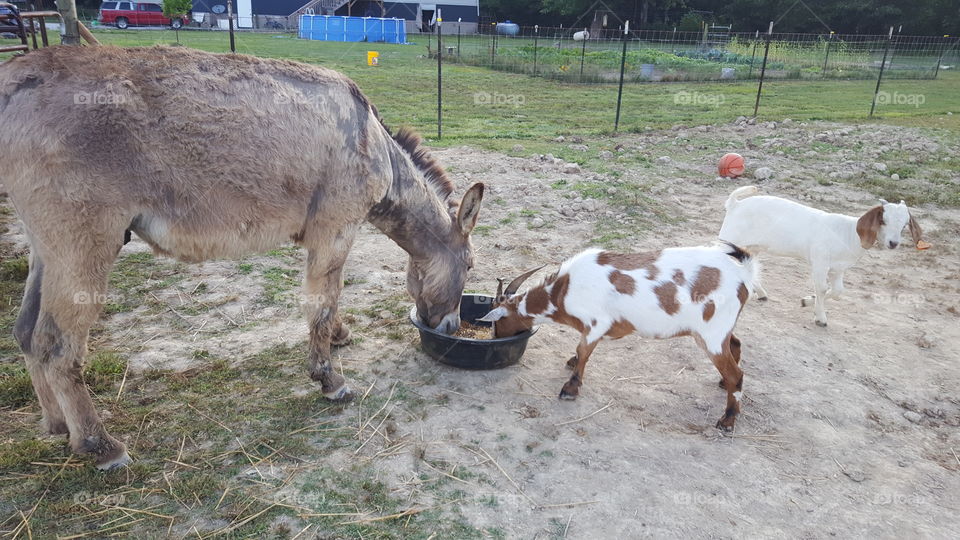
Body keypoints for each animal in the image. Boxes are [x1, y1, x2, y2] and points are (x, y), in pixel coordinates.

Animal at [480, 243, 759, 430]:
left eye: (498, 320)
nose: (494, 337)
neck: (563, 290)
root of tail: (743, 275)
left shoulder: (596, 323)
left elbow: (584, 351)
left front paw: (570, 388)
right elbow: (580, 351)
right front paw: (570, 365)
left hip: (711, 334)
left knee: (736, 373)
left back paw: (727, 420)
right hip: (716, 331)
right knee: (735, 346)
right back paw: (723, 385)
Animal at [719, 186, 924, 327]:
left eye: (904, 225)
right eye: (883, 220)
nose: (893, 243)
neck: (848, 233)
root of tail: (735, 204)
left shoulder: (838, 268)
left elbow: (839, 291)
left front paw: (807, 301)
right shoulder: (820, 261)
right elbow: (822, 288)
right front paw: (820, 318)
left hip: (753, 246)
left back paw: (760, 293)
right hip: (729, 239)